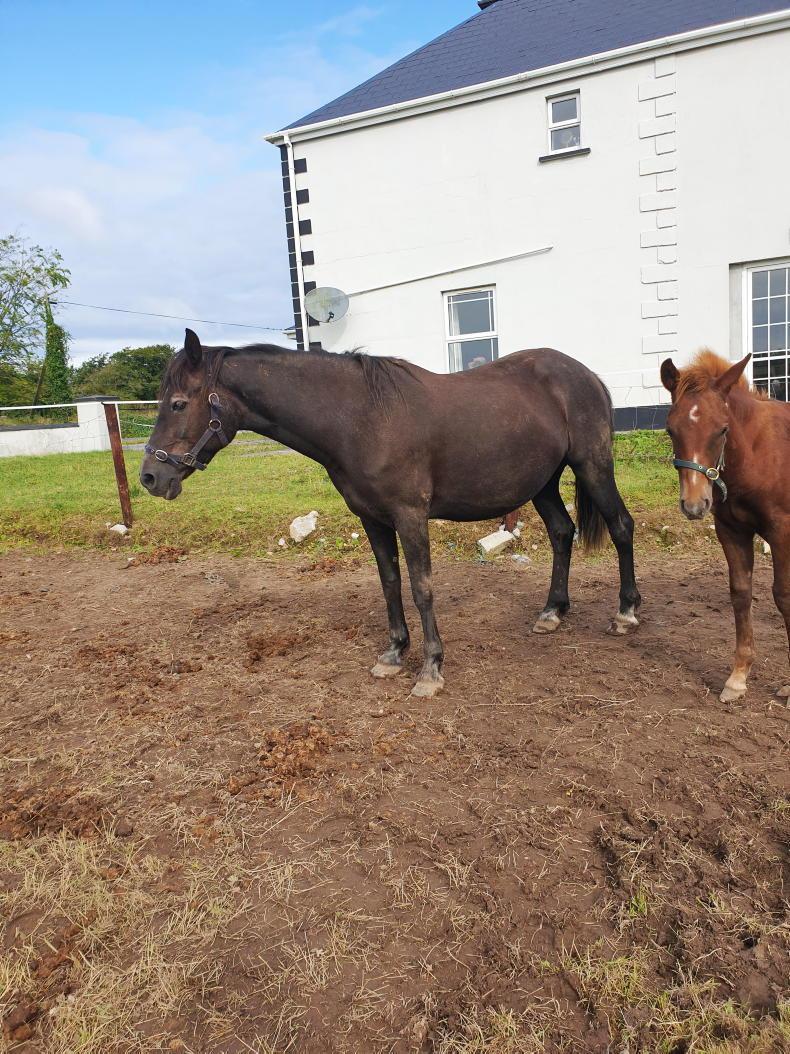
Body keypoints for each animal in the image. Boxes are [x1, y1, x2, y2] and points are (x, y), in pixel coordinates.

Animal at [140, 329, 641, 698]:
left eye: (178, 403)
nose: (149, 476)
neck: (360, 417)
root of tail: (585, 375)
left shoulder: (409, 515)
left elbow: (422, 588)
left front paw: (431, 669)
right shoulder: (373, 519)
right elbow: (390, 582)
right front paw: (394, 653)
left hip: (592, 465)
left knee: (621, 527)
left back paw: (625, 613)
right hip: (544, 482)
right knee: (561, 532)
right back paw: (552, 612)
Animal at [661, 349, 790, 703]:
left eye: (722, 429)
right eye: (671, 430)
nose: (694, 504)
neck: (758, 454)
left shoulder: (782, 531)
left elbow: (784, 594)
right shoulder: (731, 530)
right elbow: (741, 592)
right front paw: (737, 678)